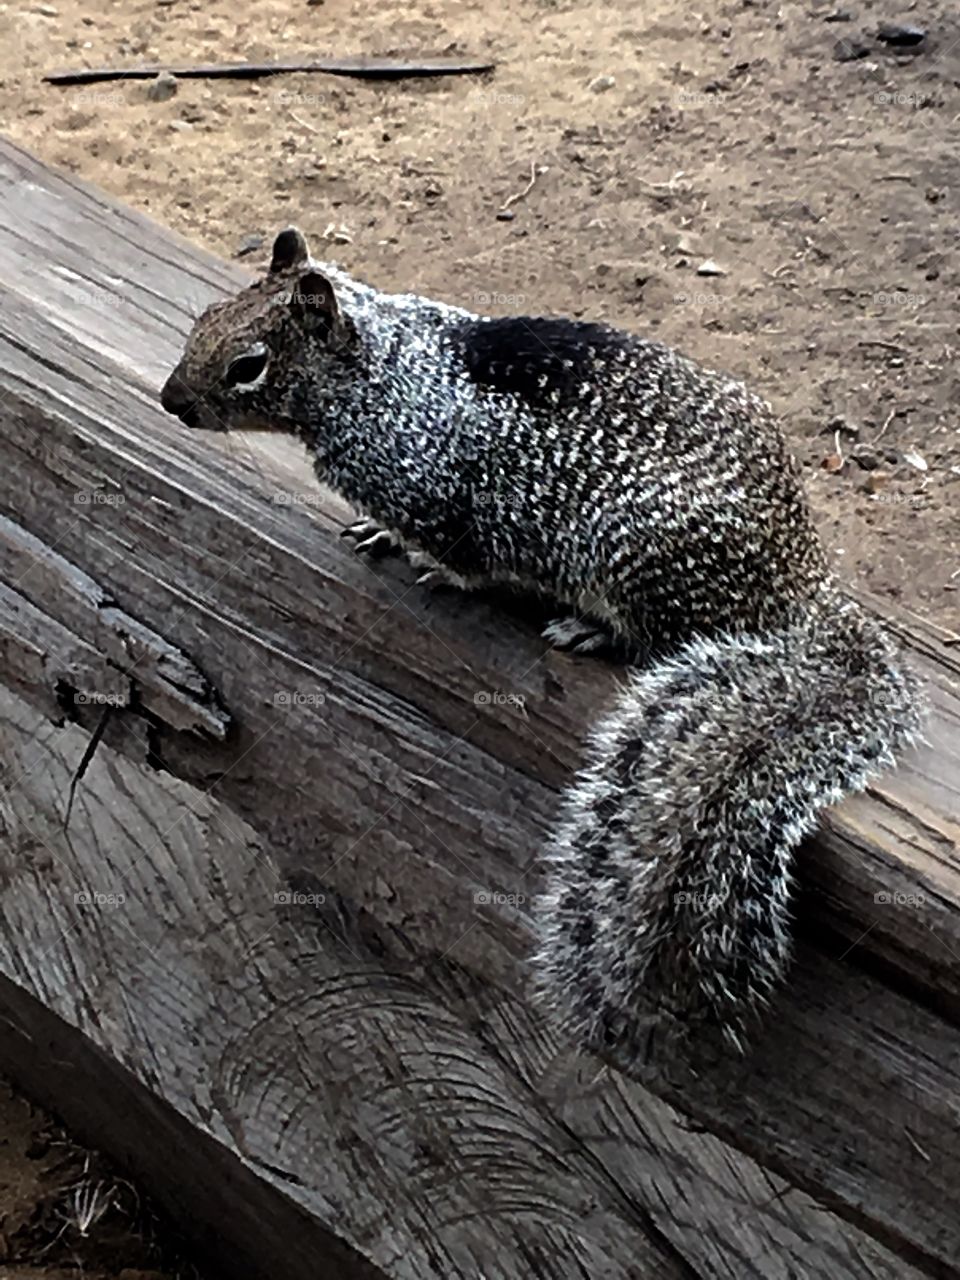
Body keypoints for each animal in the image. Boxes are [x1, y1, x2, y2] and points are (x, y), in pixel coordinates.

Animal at [160, 227, 924, 1057]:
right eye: (203, 319)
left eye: (248, 365)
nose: (172, 402)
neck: (380, 374)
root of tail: (802, 590)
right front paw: (378, 534)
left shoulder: (445, 503)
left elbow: (463, 560)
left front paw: (426, 562)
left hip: (640, 571)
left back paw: (588, 627)